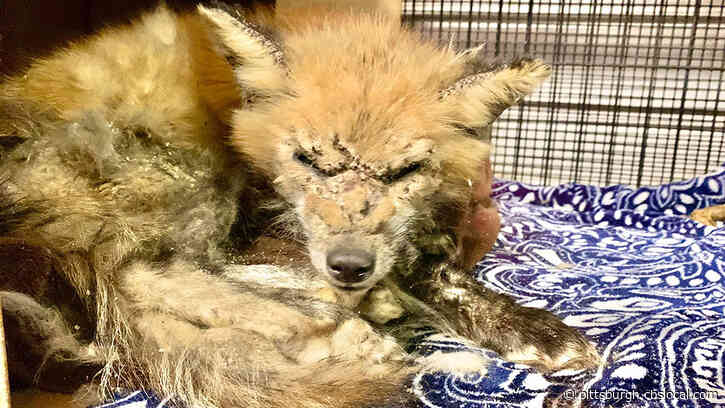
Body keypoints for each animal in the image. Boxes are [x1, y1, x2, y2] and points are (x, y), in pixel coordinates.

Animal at [0, 2, 600, 407]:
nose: (350, 266)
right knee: (139, 273)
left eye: (403, 172)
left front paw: (522, 325)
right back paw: (334, 327)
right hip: (192, 180)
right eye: (309, 161)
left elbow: (435, 267)